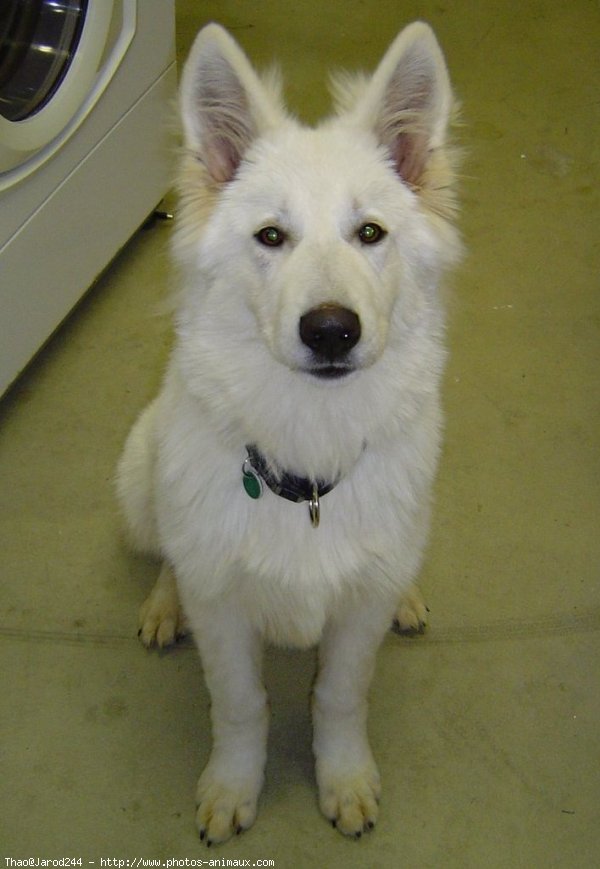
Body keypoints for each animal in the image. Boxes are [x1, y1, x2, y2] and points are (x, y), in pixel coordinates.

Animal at [118, 20, 464, 844]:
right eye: (271, 236)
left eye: (370, 232)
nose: (332, 330)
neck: (310, 461)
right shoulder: (224, 616)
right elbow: (241, 705)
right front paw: (232, 787)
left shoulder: (356, 619)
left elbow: (340, 695)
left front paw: (344, 779)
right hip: (139, 478)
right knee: (168, 554)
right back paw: (163, 604)